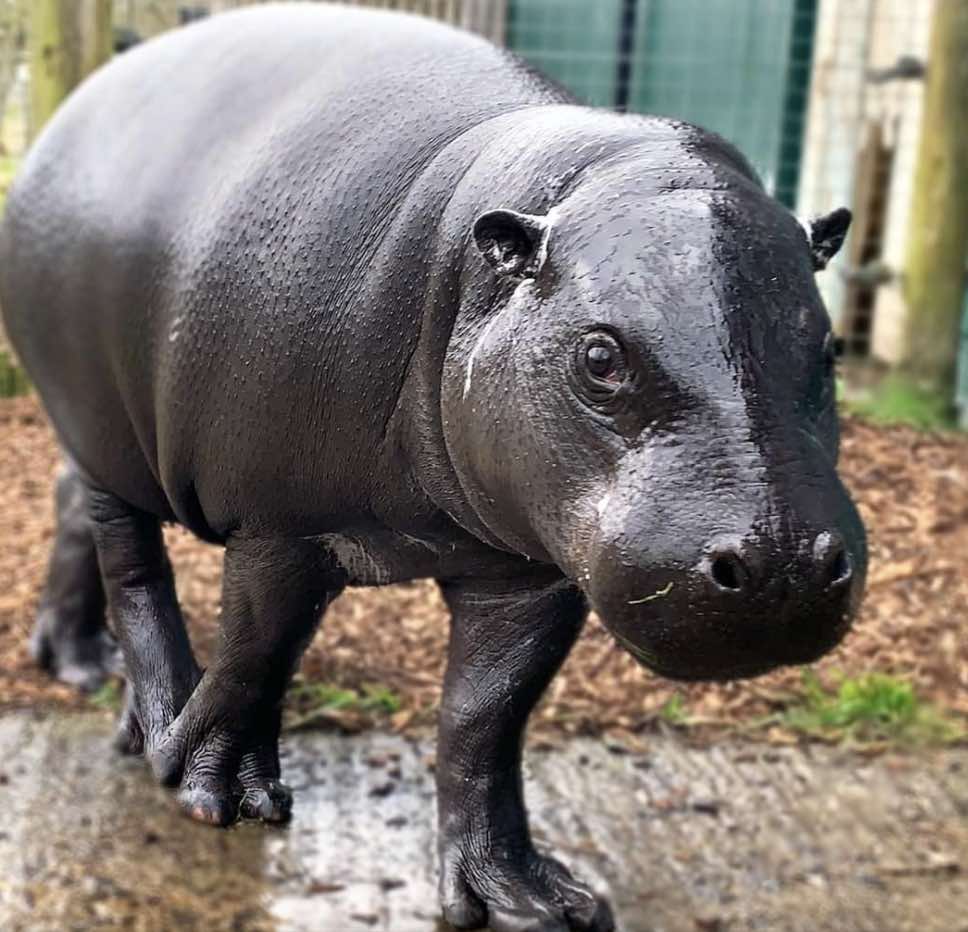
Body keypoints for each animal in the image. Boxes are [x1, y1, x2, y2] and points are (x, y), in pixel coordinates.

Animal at [0, 4, 865, 930]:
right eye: (599, 356)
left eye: (829, 348)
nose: (782, 563)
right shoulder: (280, 525)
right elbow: (255, 652)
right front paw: (216, 798)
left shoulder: (528, 573)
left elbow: (485, 718)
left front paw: (529, 899)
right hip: (99, 424)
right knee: (133, 567)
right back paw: (150, 719)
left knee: (72, 511)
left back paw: (97, 683)